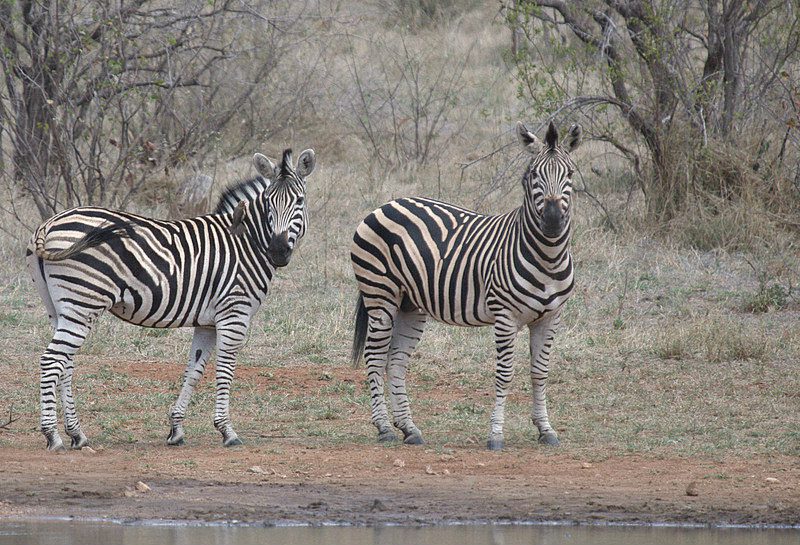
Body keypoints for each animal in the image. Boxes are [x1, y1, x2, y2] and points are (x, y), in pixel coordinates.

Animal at [25, 147, 312, 448]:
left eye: (299, 200)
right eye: (268, 203)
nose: (278, 252)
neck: (245, 241)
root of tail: (48, 224)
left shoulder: (207, 322)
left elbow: (195, 370)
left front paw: (176, 428)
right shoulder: (234, 314)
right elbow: (225, 369)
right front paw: (227, 431)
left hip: (60, 308)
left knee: (65, 364)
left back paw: (77, 434)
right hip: (83, 302)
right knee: (52, 360)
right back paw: (52, 435)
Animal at [350, 123, 580, 450]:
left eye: (569, 173)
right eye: (533, 175)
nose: (551, 222)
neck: (547, 257)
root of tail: (388, 203)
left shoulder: (550, 318)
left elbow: (540, 373)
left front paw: (545, 429)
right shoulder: (504, 316)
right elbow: (505, 374)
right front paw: (496, 434)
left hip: (410, 305)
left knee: (395, 362)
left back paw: (409, 429)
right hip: (380, 296)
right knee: (374, 357)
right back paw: (384, 428)